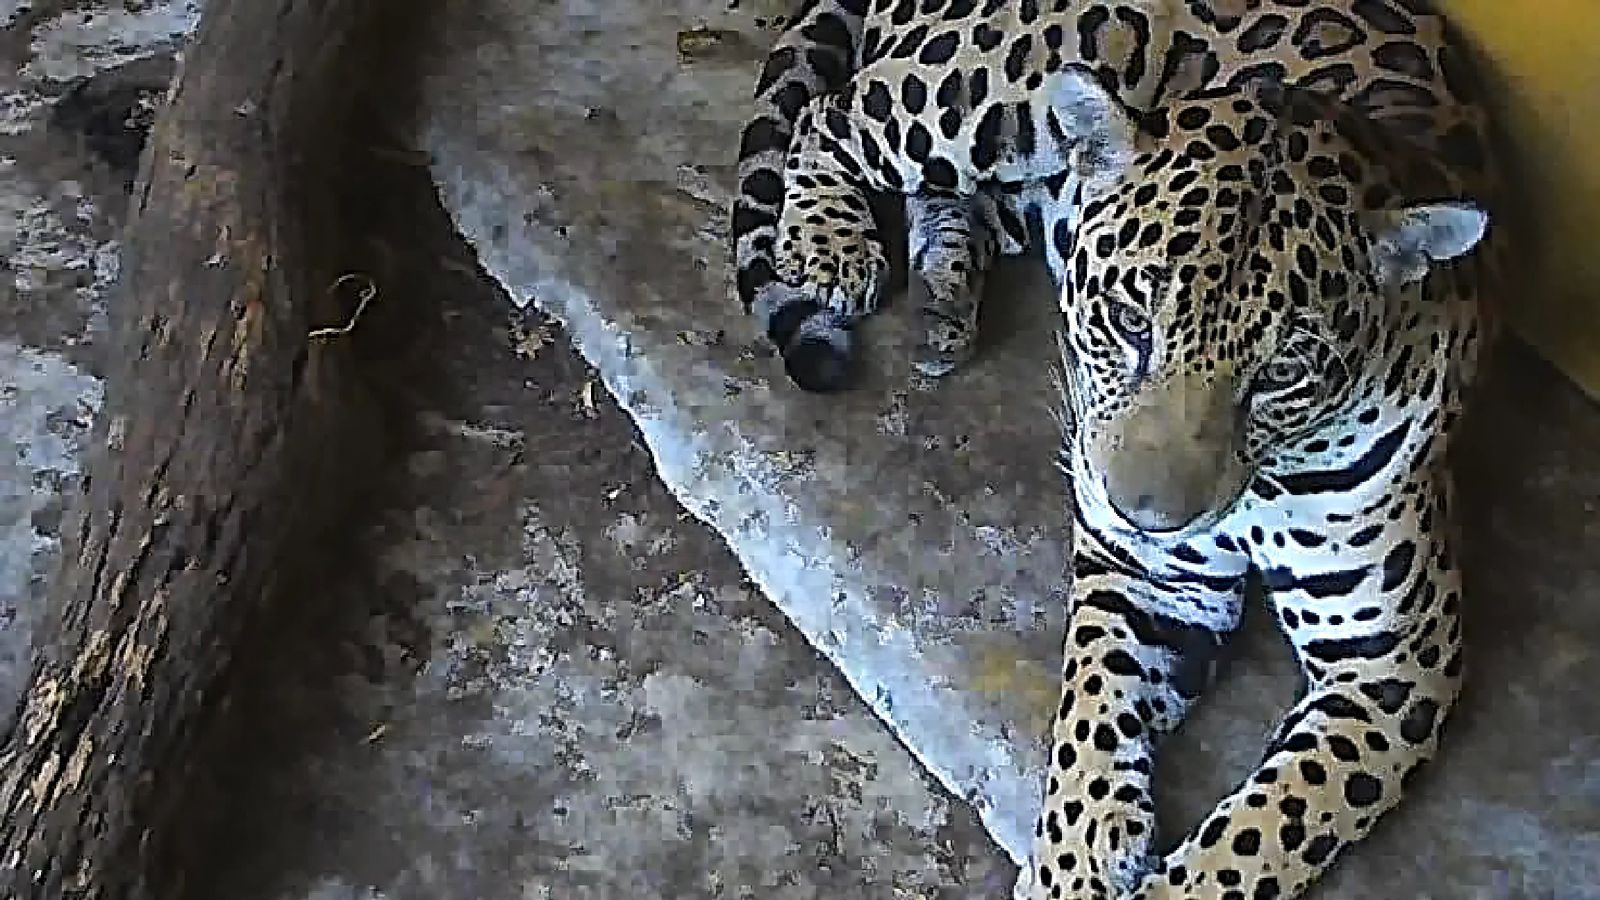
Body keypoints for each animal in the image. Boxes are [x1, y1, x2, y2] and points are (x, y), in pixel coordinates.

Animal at [730, 2, 1504, 899]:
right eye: (1131, 322)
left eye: (1281, 370)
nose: (1147, 516)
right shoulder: (1147, 575)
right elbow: (1093, 715)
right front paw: (1072, 864)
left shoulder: (1392, 666)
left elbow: (1268, 828)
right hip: (997, 84)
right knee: (834, 115)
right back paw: (833, 246)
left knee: (951, 193)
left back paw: (943, 301)